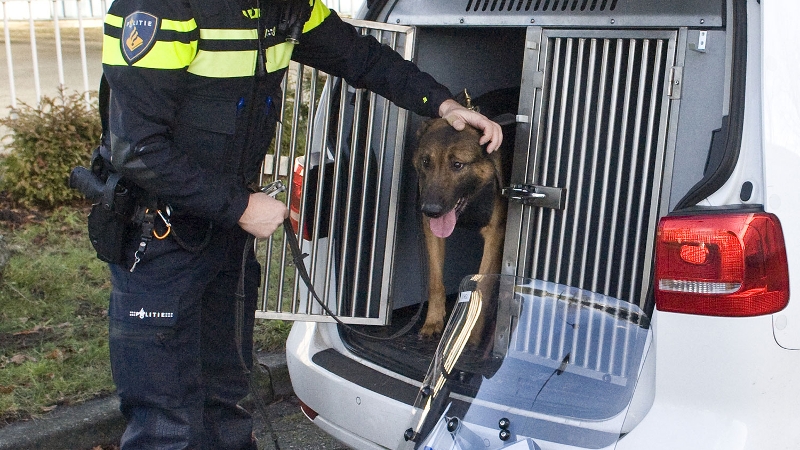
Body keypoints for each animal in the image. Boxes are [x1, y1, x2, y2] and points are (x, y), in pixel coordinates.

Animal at [416, 114, 510, 340]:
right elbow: (435, 280)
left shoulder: (495, 235)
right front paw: (433, 320)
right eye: (426, 162)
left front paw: (472, 333)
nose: (429, 210)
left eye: (458, 165)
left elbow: (482, 285)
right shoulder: (432, 233)